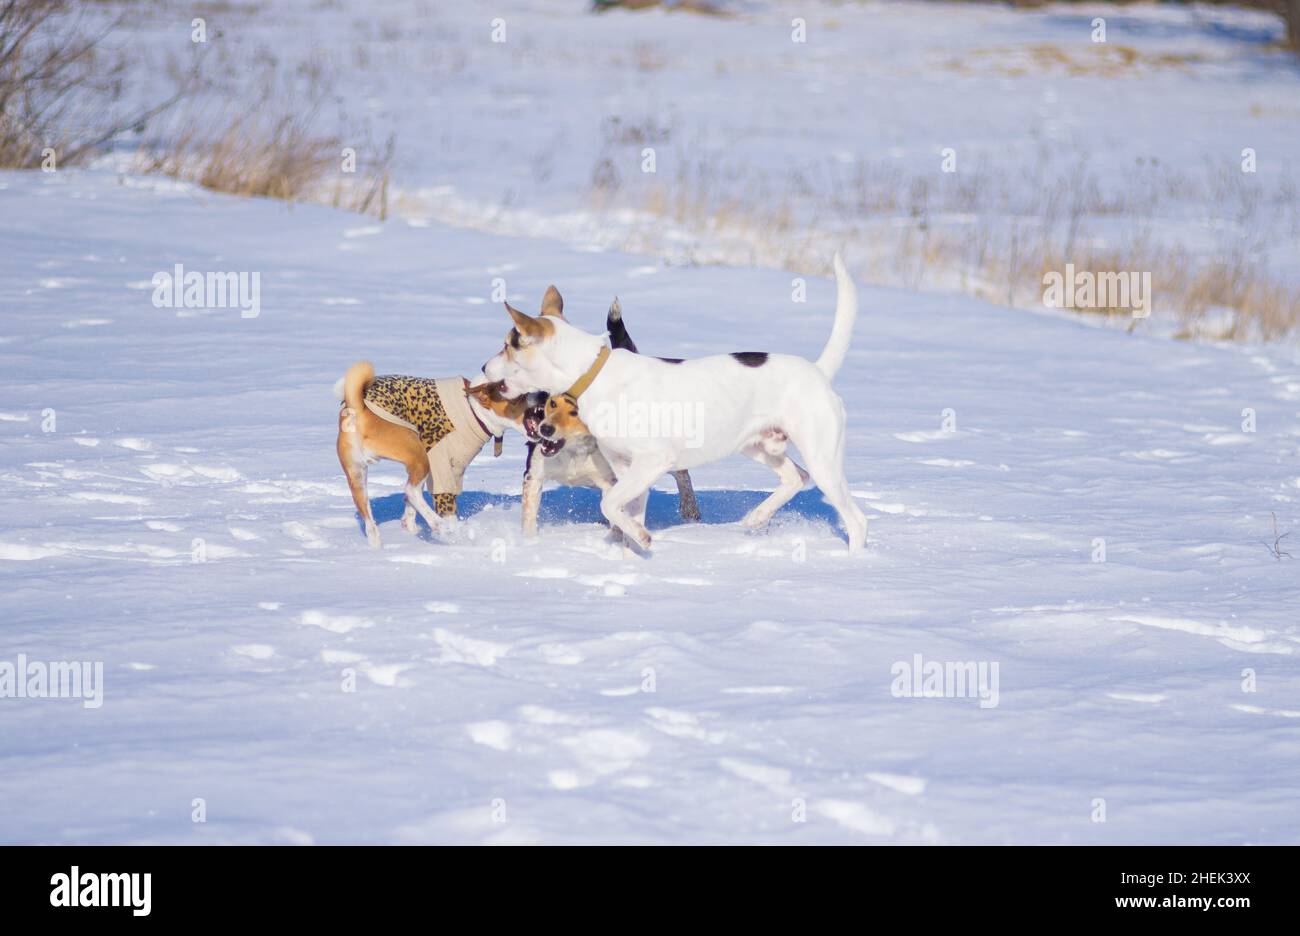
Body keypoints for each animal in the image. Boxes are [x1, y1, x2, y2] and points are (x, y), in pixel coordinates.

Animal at [478, 252, 863, 551]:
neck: (593, 372)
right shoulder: (625, 468)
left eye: (507, 345)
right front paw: (633, 550)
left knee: (856, 520)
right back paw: (757, 517)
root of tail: (818, 371)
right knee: (796, 477)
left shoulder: (652, 461)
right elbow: (622, 511)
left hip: (822, 457)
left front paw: (641, 539)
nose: (483, 366)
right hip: (759, 445)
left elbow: (608, 504)